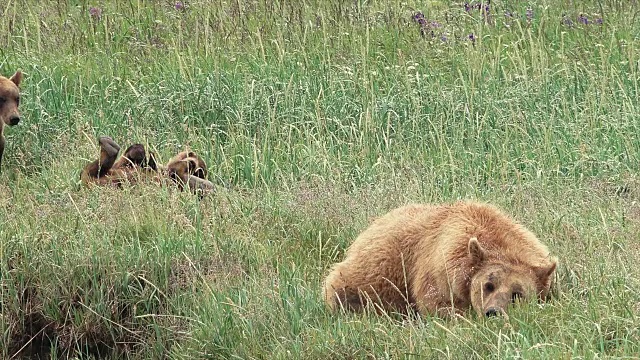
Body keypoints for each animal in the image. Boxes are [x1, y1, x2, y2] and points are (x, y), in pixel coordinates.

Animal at [322, 202, 556, 318]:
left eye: (517, 294)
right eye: (488, 285)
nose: (493, 312)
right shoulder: (439, 268)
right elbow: (437, 303)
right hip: (377, 270)